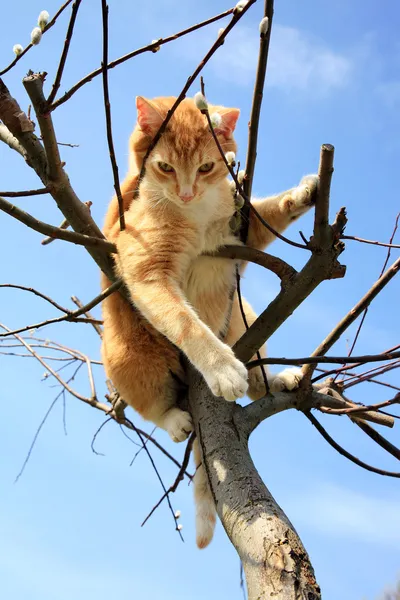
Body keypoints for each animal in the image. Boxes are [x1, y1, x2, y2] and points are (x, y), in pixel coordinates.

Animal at [102, 96, 318, 552]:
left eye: (206, 167)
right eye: (165, 167)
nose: (186, 192)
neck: (196, 213)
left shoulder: (240, 235)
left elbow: (270, 211)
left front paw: (303, 193)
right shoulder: (142, 265)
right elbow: (186, 322)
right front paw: (221, 370)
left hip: (242, 317)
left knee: (258, 379)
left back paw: (276, 380)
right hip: (129, 357)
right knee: (148, 403)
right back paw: (175, 418)